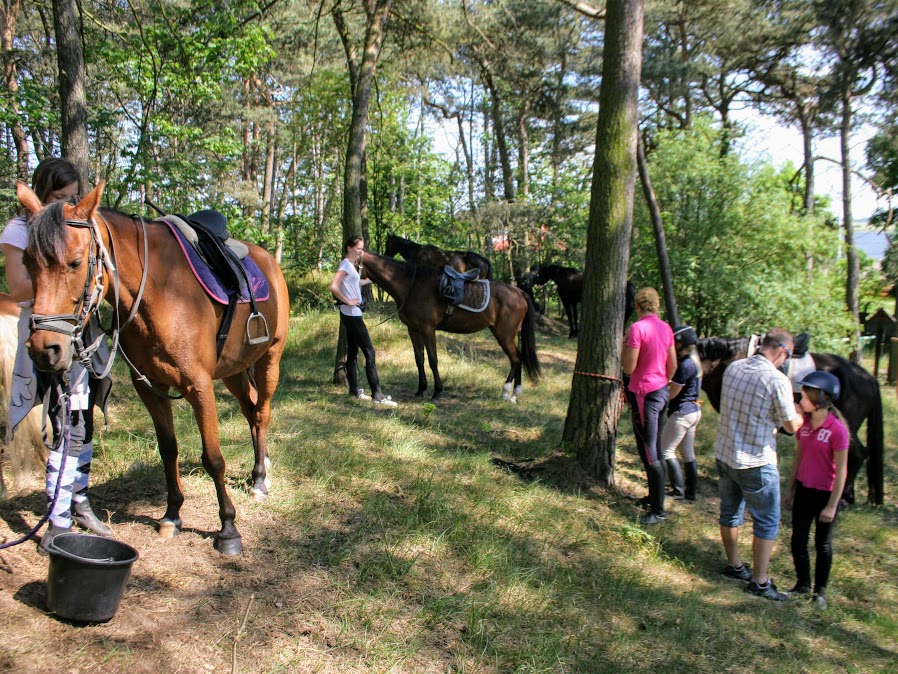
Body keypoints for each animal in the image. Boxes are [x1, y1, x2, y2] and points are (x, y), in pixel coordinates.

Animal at [17, 181, 288, 552]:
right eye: (27, 262)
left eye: (75, 263)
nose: (45, 349)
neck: (158, 293)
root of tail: (268, 261)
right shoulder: (150, 388)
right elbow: (168, 450)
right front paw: (172, 514)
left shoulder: (198, 386)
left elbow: (213, 458)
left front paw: (228, 529)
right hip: (234, 369)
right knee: (249, 410)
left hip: (268, 359)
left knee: (261, 412)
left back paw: (260, 479)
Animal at [358, 251, 536, 400]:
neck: (411, 285)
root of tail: (519, 292)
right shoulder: (413, 329)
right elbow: (419, 359)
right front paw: (421, 389)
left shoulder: (428, 329)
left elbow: (433, 360)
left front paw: (437, 392)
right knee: (519, 357)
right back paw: (514, 394)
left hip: (504, 335)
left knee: (515, 359)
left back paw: (507, 392)